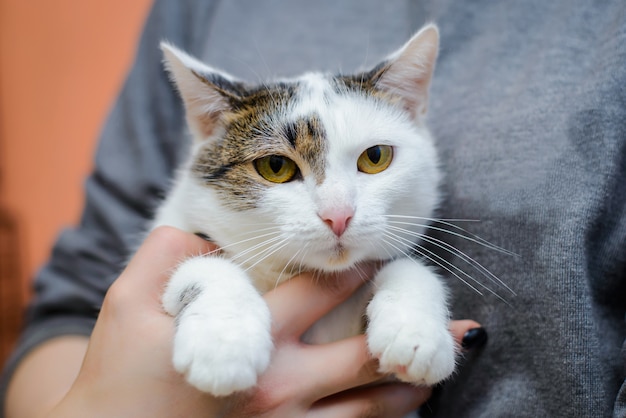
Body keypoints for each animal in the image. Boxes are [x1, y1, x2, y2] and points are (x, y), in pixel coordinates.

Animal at [153, 24, 450, 396]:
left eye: (376, 156)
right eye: (275, 166)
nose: (338, 215)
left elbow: (407, 267)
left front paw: (415, 331)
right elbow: (204, 267)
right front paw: (224, 343)